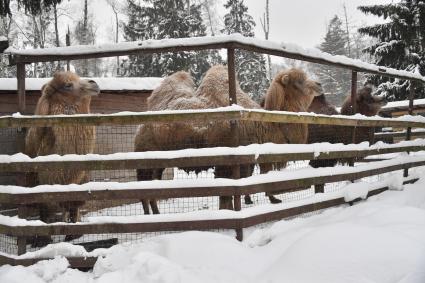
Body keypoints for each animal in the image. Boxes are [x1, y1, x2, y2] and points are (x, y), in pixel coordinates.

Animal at [25, 71, 100, 246]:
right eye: (67, 85)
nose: (94, 83)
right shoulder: (40, 185)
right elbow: (44, 212)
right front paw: (42, 240)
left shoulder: (79, 184)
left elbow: (74, 208)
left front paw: (74, 235)